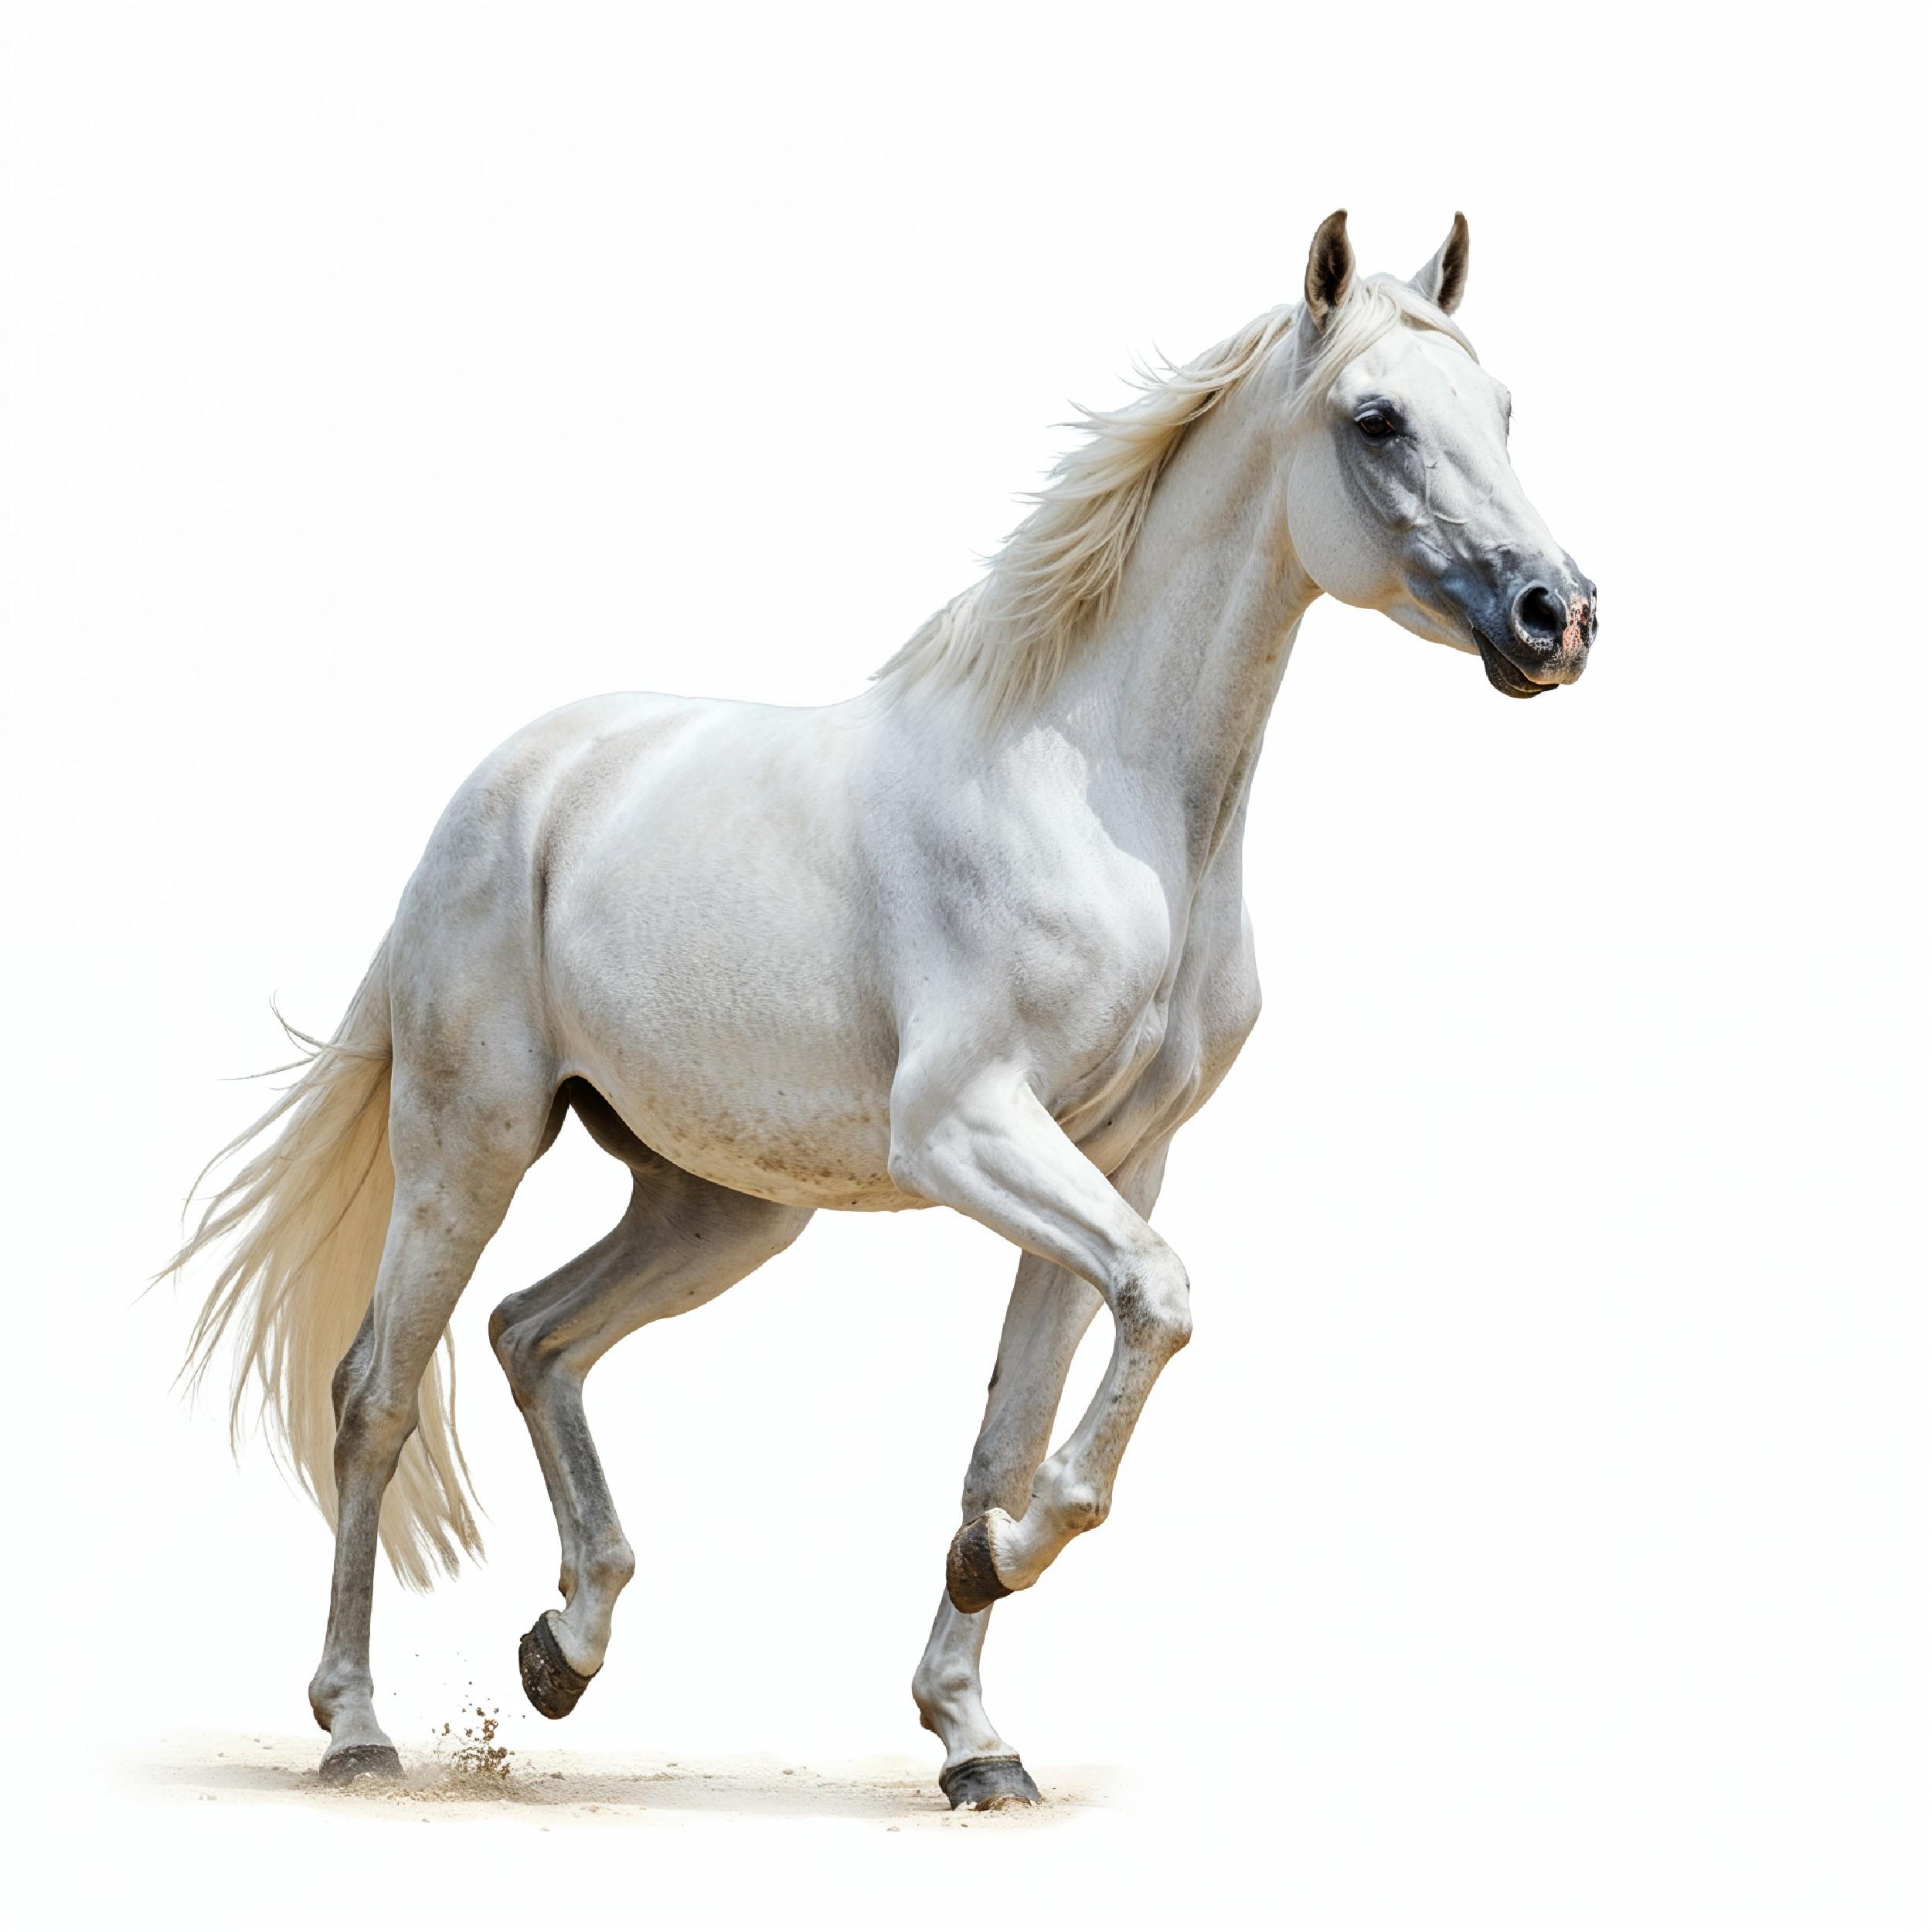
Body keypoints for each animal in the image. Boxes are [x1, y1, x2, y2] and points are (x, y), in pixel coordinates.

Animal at [171, 210, 1596, 1809]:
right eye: (1378, 417)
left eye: (1506, 410)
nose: (1558, 616)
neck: (1097, 791)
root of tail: (511, 785)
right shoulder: (967, 1129)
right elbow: (1160, 1306)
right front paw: (999, 1574)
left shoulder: (1119, 1159)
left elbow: (1019, 1425)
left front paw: (976, 1731)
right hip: (469, 1142)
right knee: (376, 1392)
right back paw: (359, 1728)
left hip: (722, 1203)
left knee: (535, 1334)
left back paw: (562, 1652)